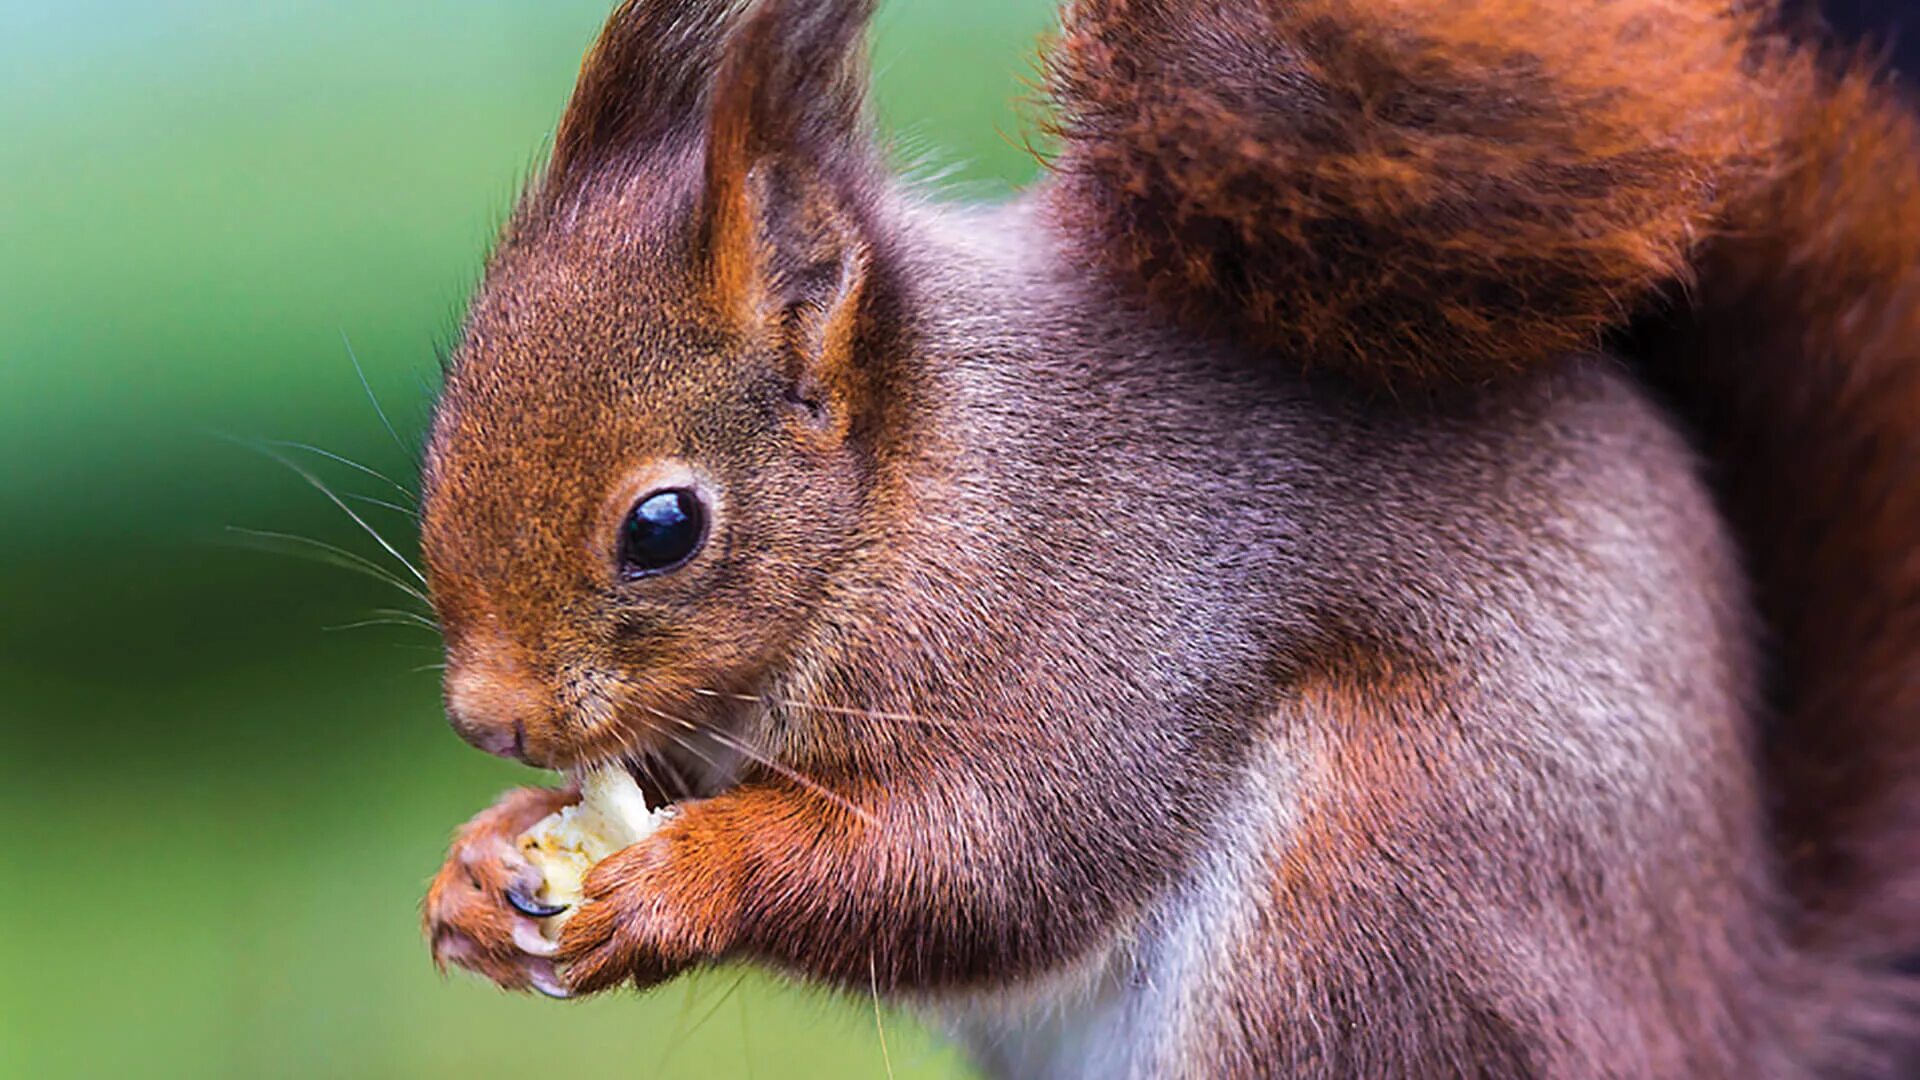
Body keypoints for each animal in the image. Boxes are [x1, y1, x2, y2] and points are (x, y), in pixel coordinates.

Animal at [420, 0, 1920, 1068]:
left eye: (664, 526)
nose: (488, 718)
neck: (913, 492)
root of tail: (1727, 1004)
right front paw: (487, 857)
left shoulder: (1100, 612)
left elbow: (992, 854)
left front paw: (676, 881)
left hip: (1371, 912)